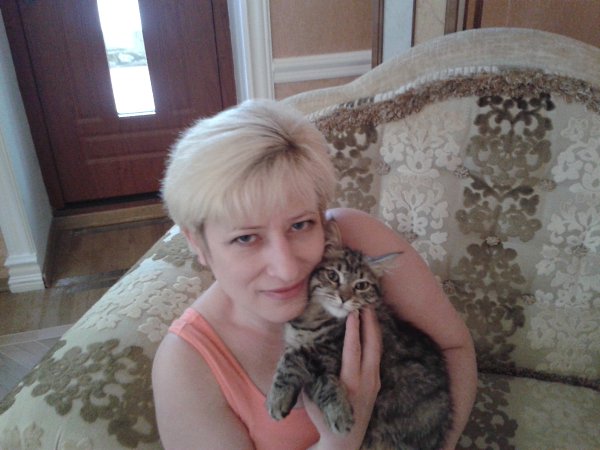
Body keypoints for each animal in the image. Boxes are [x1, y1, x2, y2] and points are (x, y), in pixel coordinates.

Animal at [266, 225, 453, 450]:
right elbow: (300, 362)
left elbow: (296, 360)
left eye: (362, 285)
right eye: (333, 275)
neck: (315, 315)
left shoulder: (330, 354)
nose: (344, 298)